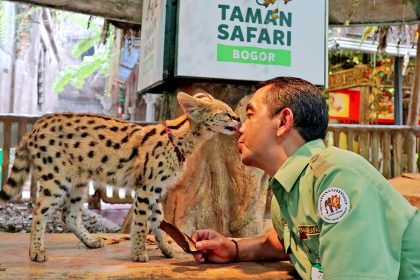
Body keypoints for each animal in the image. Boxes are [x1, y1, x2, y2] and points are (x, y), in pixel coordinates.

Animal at [0, 92, 241, 262]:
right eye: (226, 113)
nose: (238, 118)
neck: (180, 139)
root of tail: (33, 128)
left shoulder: (155, 190)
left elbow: (158, 221)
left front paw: (166, 248)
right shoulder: (146, 187)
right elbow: (141, 223)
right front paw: (139, 253)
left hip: (78, 182)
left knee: (68, 215)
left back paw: (90, 241)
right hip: (56, 179)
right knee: (39, 212)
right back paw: (36, 251)